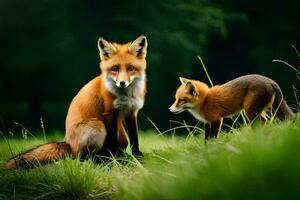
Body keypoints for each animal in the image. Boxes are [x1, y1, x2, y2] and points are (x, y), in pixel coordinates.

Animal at [5, 35, 148, 168]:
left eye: (130, 68)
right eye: (115, 68)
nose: (122, 83)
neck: (127, 95)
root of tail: (68, 143)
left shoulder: (131, 112)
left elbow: (135, 139)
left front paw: (137, 157)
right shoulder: (109, 113)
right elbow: (112, 141)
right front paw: (115, 160)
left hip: (121, 134)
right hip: (96, 125)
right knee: (82, 157)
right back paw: (102, 160)